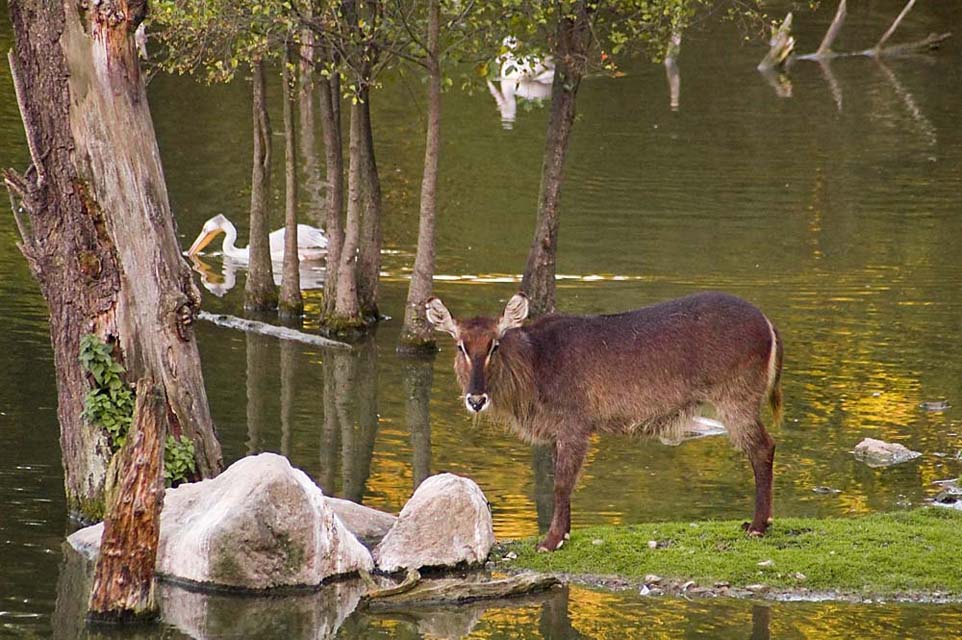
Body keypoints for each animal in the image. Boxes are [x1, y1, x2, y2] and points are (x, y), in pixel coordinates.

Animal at [426, 291, 783, 552]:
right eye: (460, 346)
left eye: (494, 346)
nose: (476, 399)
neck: (534, 364)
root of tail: (767, 322)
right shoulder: (558, 432)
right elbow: (557, 481)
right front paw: (565, 533)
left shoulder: (575, 425)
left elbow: (561, 483)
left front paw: (550, 541)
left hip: (736, 398)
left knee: (763, 447)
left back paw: (757, 526)